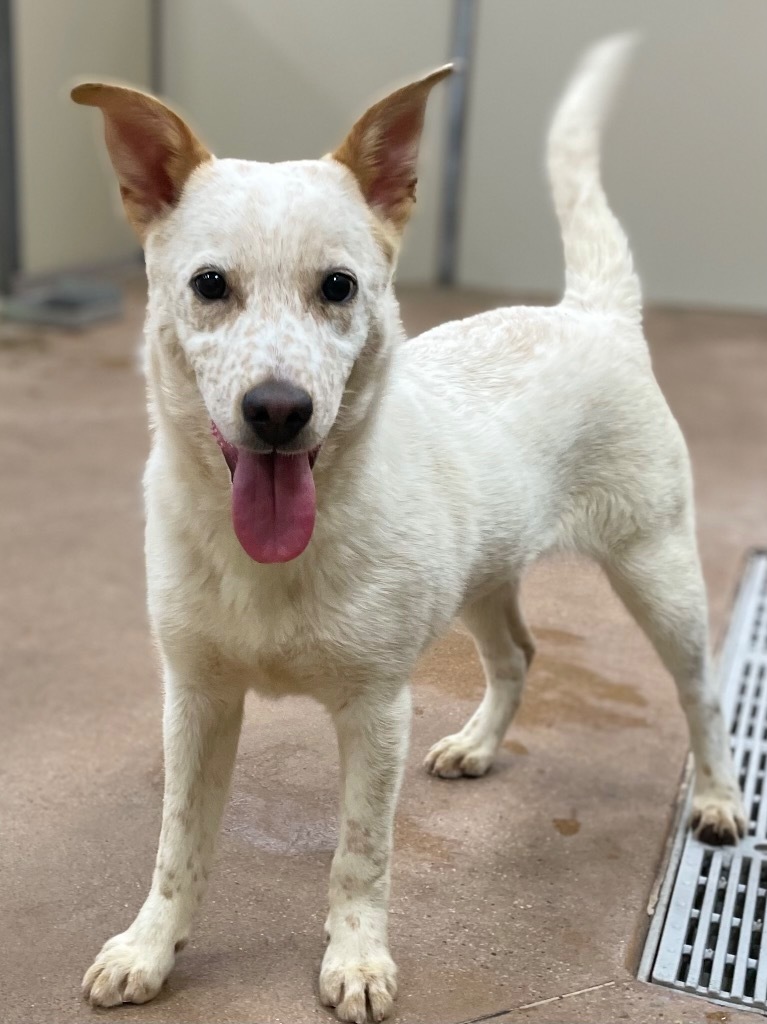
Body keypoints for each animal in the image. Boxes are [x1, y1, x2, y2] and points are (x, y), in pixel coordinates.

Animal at [70, 34, 741, 1024]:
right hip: (484, 578)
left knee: (700, 695)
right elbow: (177, 843)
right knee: (518, 655)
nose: (278, 410)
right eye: (209, 285)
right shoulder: (194, 697)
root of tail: (591, 314)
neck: (274, 554)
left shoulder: (375, 710)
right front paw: (150, 947)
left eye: (338, 286)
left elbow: (361, 853)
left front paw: (356, 960)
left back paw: (721, 797)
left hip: (658, 575)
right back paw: (478, 745)